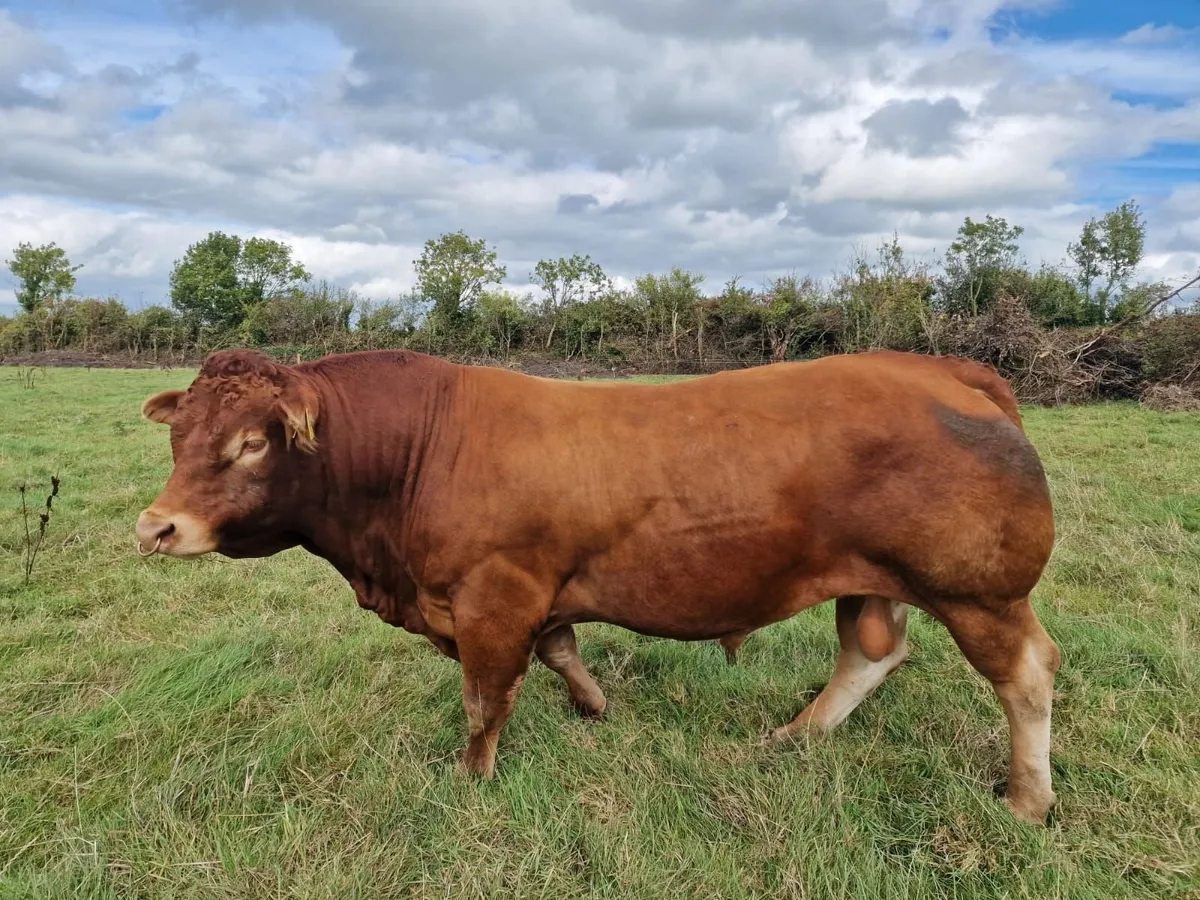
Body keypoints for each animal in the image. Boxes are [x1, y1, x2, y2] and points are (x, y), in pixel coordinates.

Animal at [135, 347, 1061, 824]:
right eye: (180, 434)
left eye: (253, 443)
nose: (156, 529)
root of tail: (937, 366)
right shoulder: (534, 592)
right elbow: (561, 649)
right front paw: (594, 706)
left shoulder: (492, 597)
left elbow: (485, 699)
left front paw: (471, 776)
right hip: (871, 580)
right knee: (871, 655)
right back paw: (794, 736)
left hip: (979, 593)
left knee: (1026, 676)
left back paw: (1027, 799)